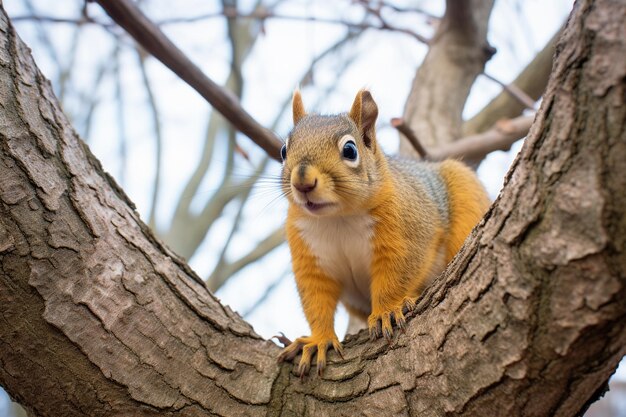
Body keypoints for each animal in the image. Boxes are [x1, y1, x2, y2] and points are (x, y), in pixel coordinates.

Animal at [276, 89, 488, 376]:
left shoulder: (408, 234)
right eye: (284, 150)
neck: (337, 219)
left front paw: (387, 310)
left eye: (350, 150)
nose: (303, 182)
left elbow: (396, 275)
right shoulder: (309, 255)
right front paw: (318, 340)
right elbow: (316, 298)